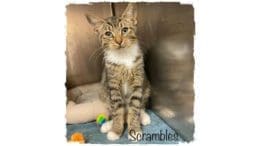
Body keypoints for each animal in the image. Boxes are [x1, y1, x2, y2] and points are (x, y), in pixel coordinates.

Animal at [85, 3, 150, 140]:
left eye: (124, 30)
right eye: (108, 33)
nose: (119, 41)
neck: (123, 56)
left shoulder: (138, 79)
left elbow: (135, 106)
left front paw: (134, 129)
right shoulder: (112, 82)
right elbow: (117, 108)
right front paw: (116, 130)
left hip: (147, 86)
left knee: (140, 105)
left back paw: (143, 116)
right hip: (103, 91)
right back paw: (109, 124)